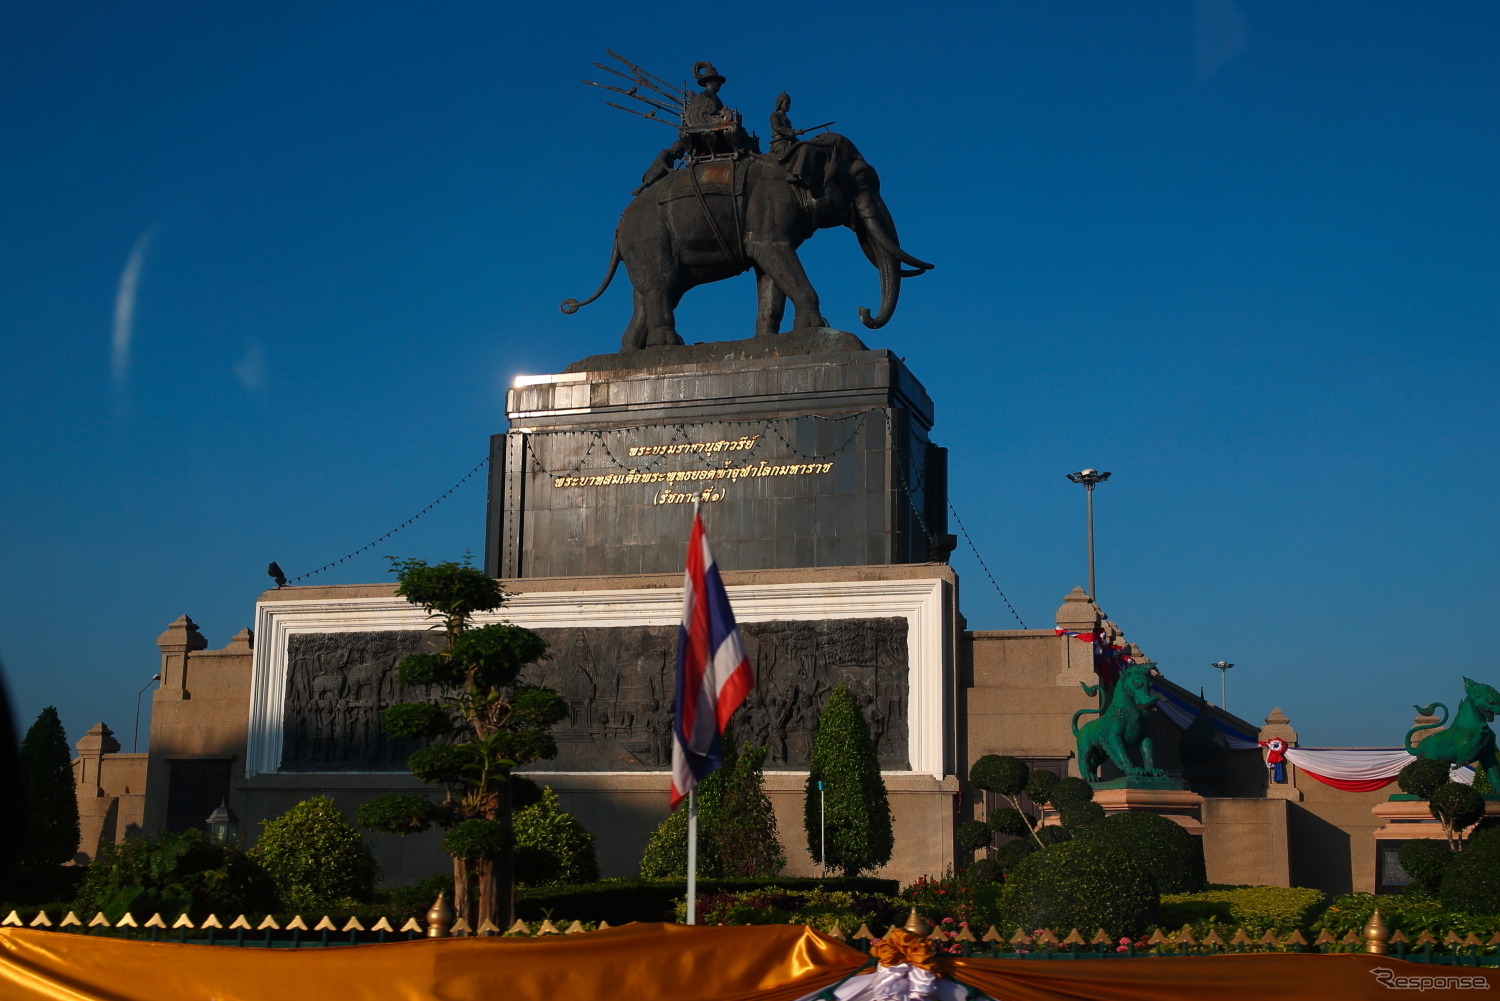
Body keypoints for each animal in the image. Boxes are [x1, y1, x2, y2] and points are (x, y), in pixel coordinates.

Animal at [564, 132, 936, 352]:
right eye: (862, 178)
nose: (863, 311)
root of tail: (618, 227)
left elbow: (769, 271)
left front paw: (770, 340)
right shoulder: (771, 201)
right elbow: (770, 251)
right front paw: (817, 326)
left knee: (650, 293)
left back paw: (632, 352)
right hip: (650, 236)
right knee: (660, 284)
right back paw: (668, 344)